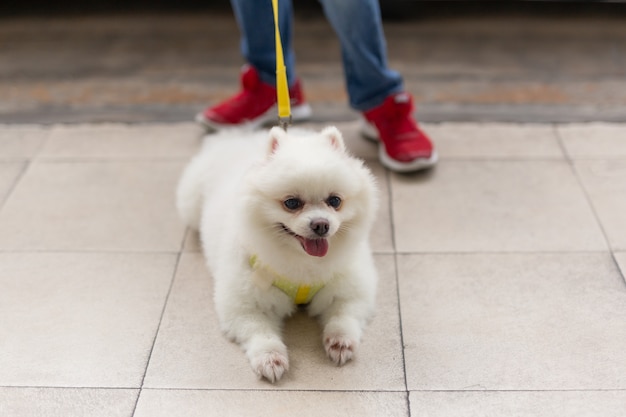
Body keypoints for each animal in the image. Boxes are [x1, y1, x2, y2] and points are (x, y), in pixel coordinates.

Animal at [174, 125, 376, 382]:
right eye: (291, 203)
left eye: (335, 200)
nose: (321, 224)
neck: (302, 266)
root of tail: (235, 136)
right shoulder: (245, 304)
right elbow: (260, 332)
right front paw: (270, 358)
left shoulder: (351, 288)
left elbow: (344, 313)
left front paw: (340, 341)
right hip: (190, 205)